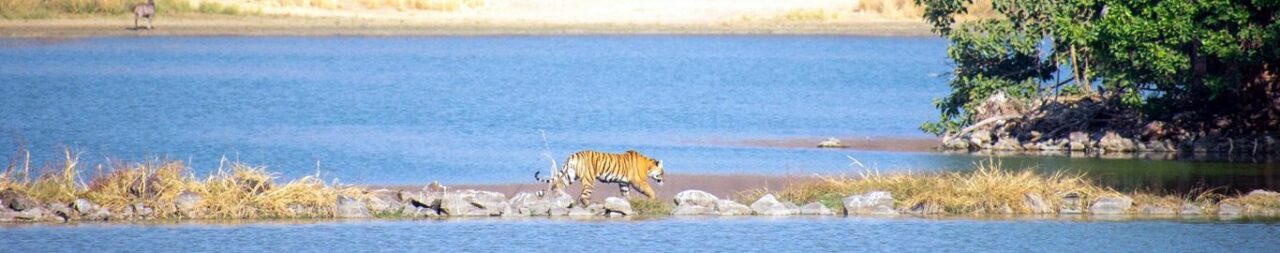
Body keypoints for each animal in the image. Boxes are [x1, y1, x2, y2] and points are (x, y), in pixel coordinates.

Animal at [532, 150, 665, 205]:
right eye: (662, 173)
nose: (664, 181)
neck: (647, 165)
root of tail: (573, 156)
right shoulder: (638, 181)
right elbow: (649, 190)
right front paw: (653, 197)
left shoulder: (623, 183)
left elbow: (626, 193)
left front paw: (629, 202)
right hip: (589, 180)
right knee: (584, 196)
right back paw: (587, 205)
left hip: (570, 175)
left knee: (558, 184)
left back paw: (562, 196)